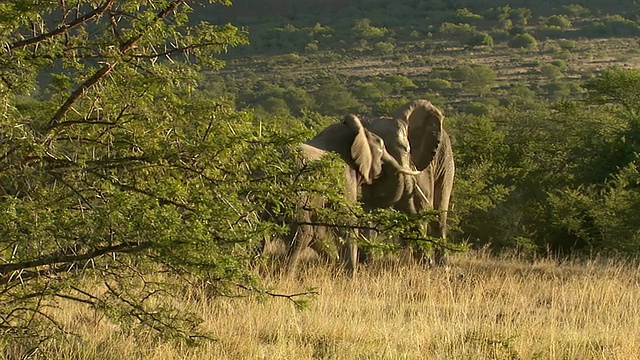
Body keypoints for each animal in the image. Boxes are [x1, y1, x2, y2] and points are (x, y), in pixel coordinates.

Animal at [284, 114, 420, 274]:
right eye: (381, 149)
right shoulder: (344, 174)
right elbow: (344, 220)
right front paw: (351, 274)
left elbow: (321, 231)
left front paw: (336, 266)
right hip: (295, 187)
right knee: (302, 232)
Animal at [360, 99, 456, 264]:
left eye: (408, 149)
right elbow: (367, 208)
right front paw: (365, 263)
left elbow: (422, 206)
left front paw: (425, 264)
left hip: (446, 160)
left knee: (439, 213)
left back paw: (442, 265)